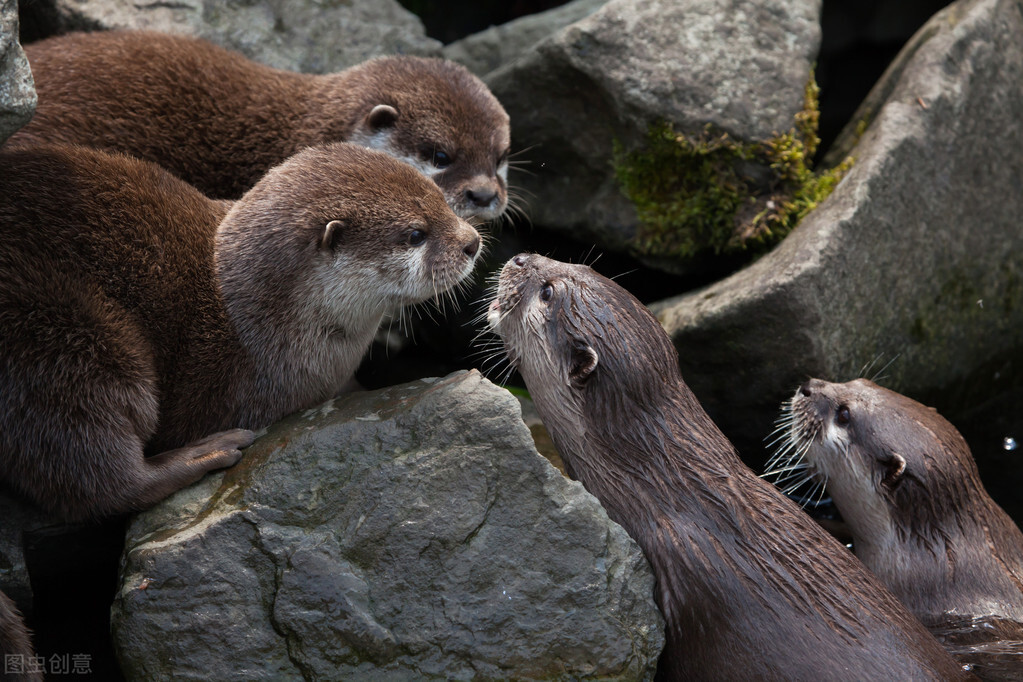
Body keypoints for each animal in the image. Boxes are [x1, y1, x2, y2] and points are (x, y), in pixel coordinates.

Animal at [0, 141, 480, 519]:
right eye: (416, 233)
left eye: (441, 198)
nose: (473, 242)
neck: (252, 321)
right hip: (61, 336)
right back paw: (203, 454)